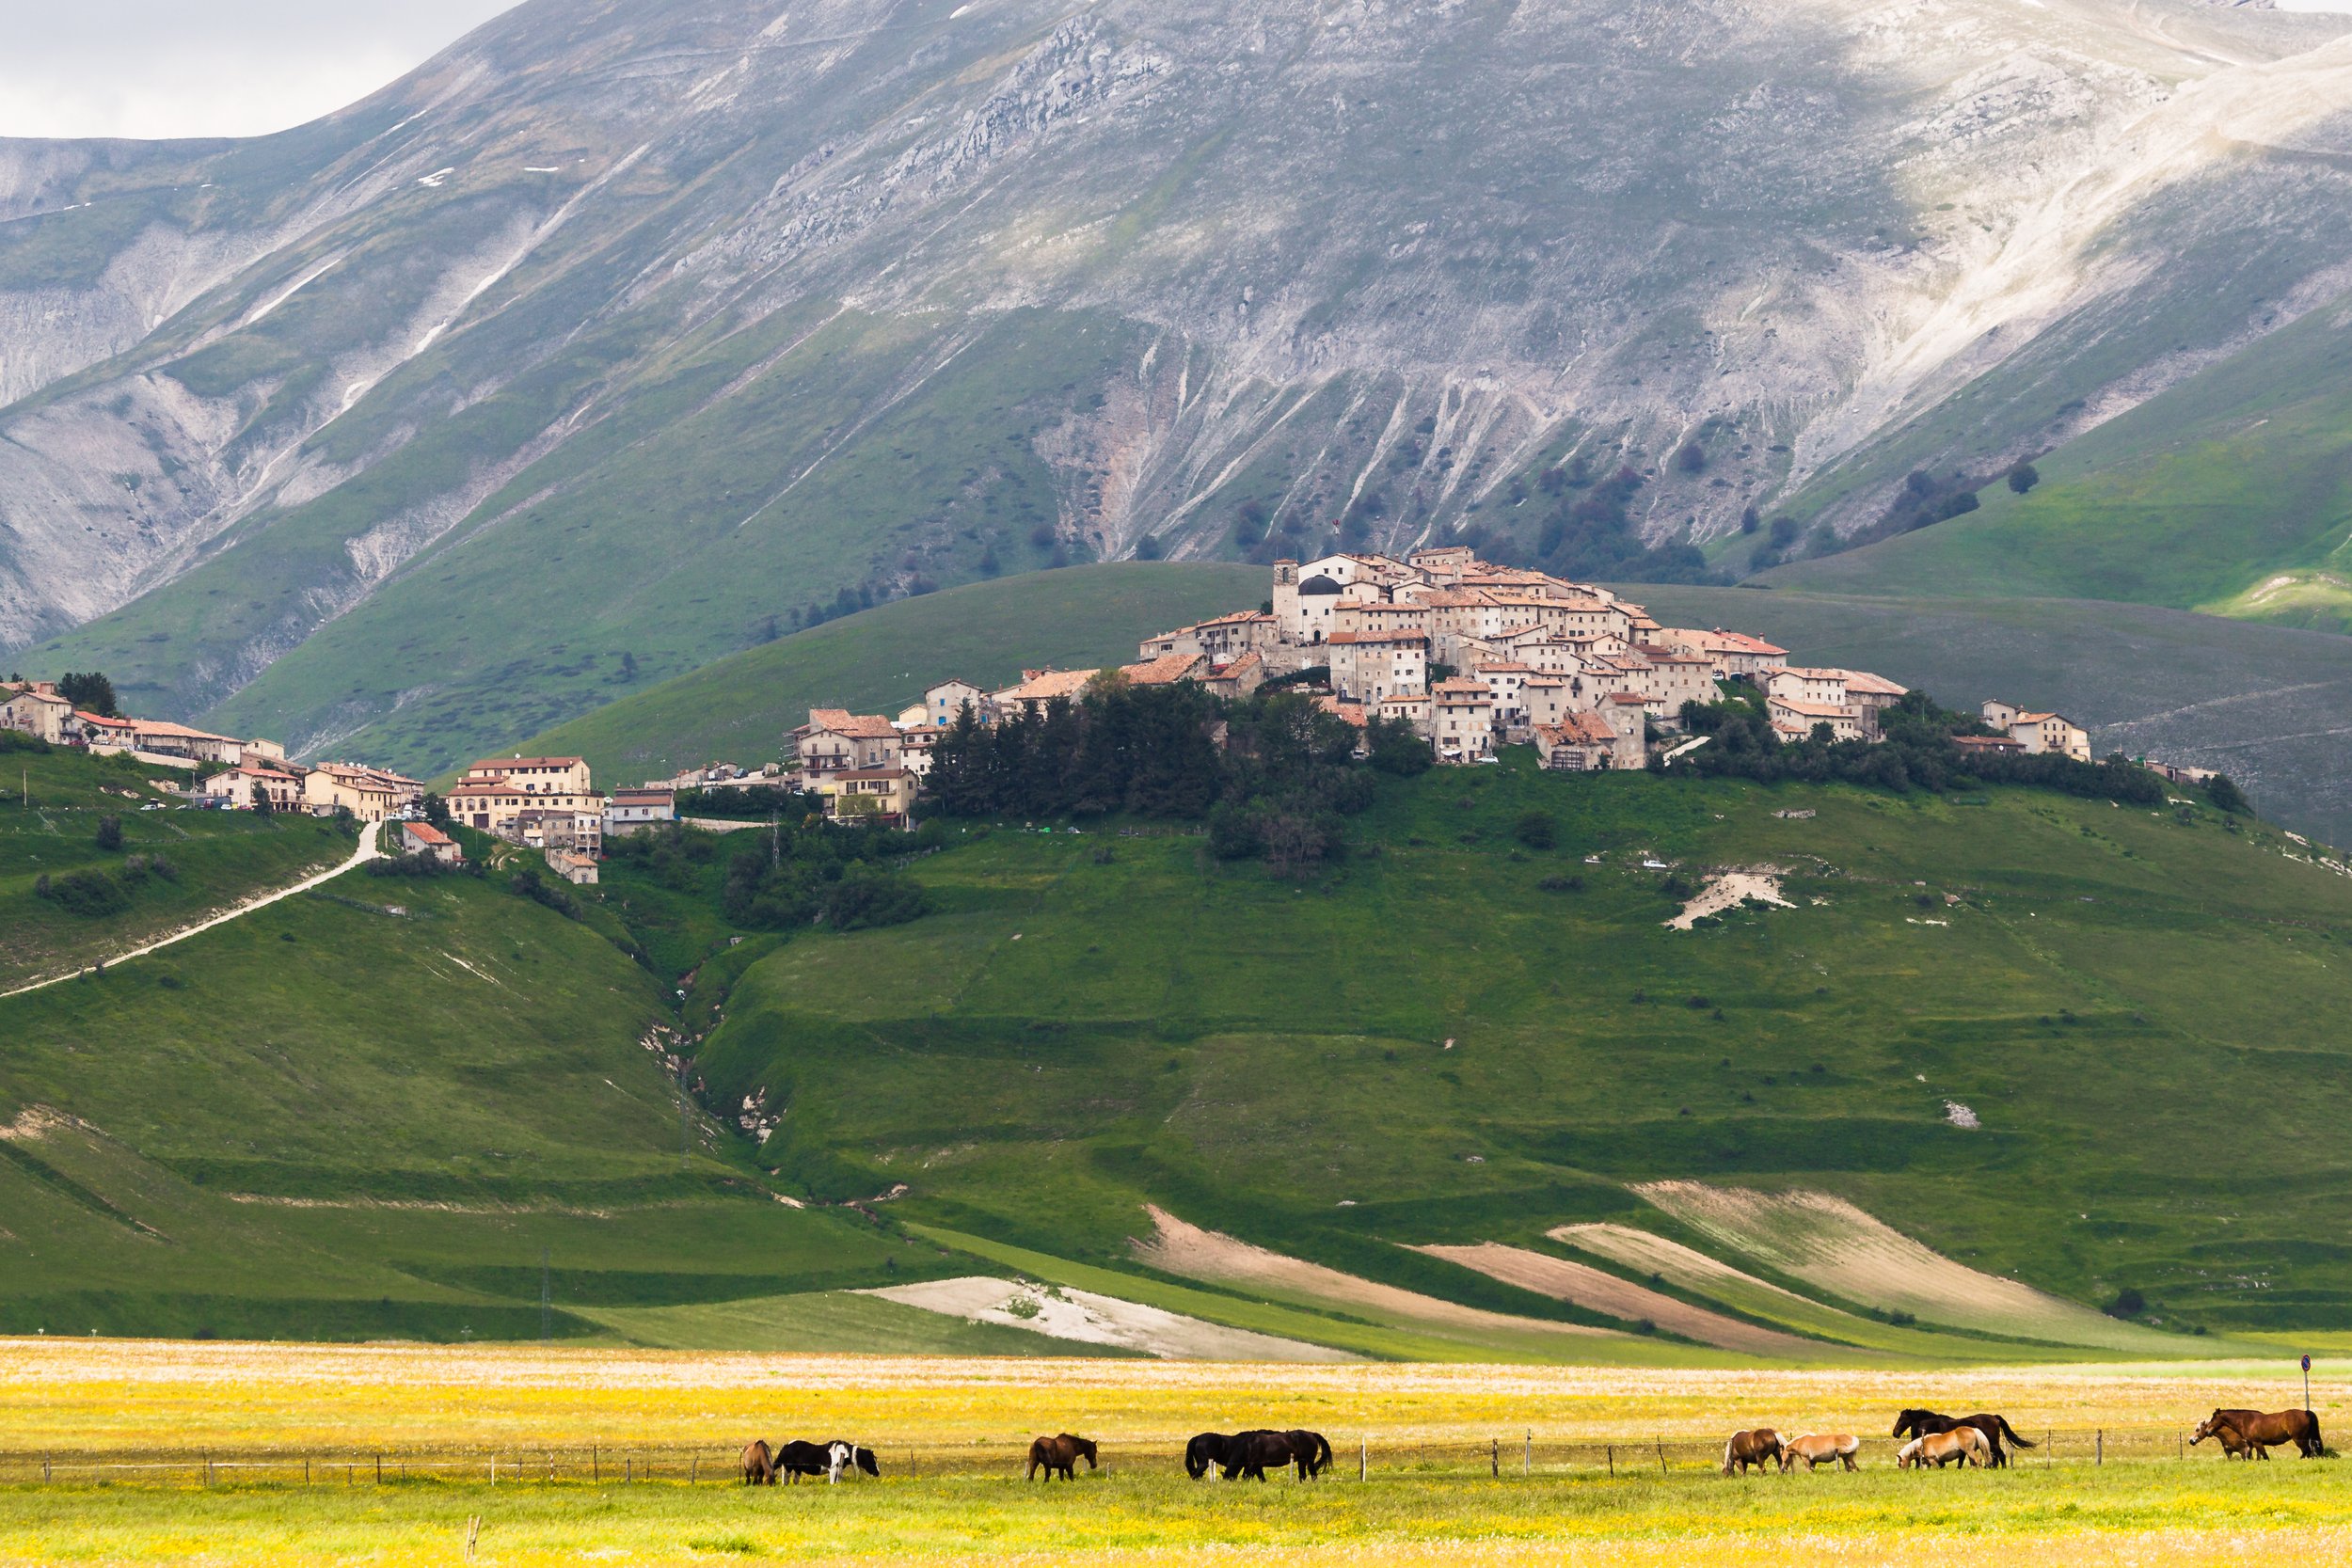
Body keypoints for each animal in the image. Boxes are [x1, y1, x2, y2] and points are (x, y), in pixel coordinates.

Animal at [1891, 1410, 2042, 1476]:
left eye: (1902, 1418)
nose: (1895, 1433)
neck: (1932, 1423)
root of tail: (1994, 1417)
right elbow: (1960, 1461)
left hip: (1993, 1444)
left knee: (2001, 1456)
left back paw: (2001, 1469)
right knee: (1995, 1457)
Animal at [2192, 1410, 2324, 1457]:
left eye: (2213, 1418)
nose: (2208, 1431)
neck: (2246, 1421)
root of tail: (2306, 1412)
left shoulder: (2257, 1443)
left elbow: (2265, 1457)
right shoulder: (2250, 1445)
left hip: (2299, 1439)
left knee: (2306, 1451)